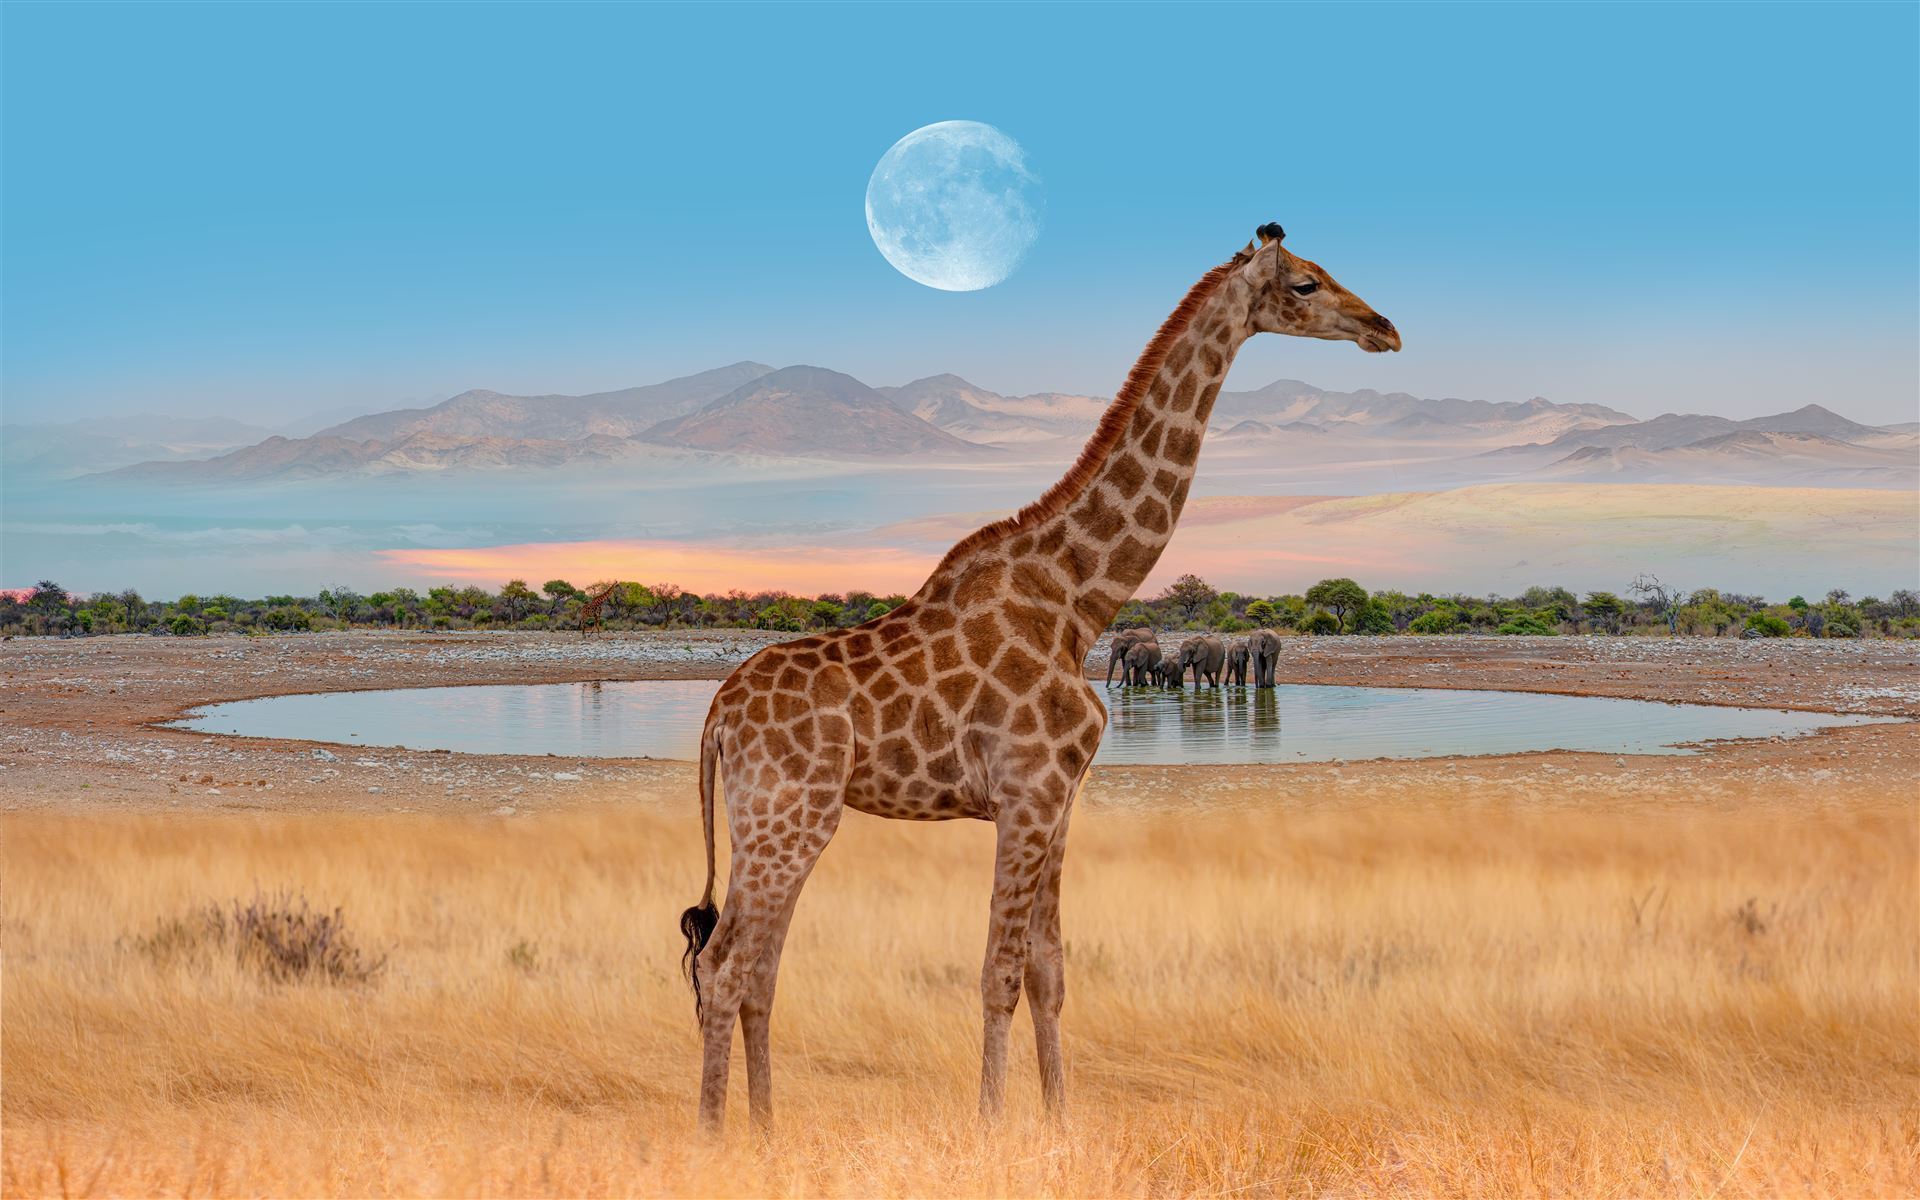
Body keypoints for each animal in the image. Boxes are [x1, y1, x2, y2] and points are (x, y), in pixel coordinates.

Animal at [679, 222, 1399, 1132]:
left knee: (753, 968)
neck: (1080, 598)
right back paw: (717, 1139)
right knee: (726, 966)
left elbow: (1050, 972)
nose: (1384, 328)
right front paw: (991, 1127)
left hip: (770, 821)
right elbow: (998, 973)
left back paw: (768, 1132)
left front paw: (1061, 1124)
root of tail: (718, 714)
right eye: (1306, 283)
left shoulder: (1060, 800)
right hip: (789, 816)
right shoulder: (1025, 792)